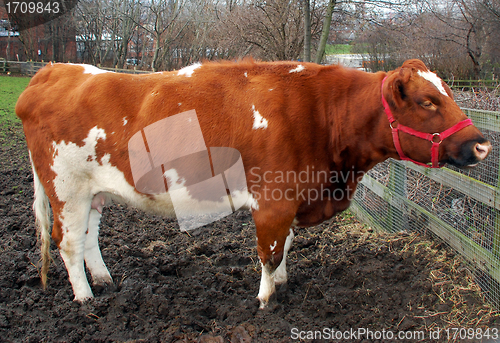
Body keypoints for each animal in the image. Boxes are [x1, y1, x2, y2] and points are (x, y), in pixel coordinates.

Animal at [16, 58, 492, 310]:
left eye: (448, 93)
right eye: (427, 101)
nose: (483, 144)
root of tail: (53, 70)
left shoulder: (292, 201)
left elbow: (287, 246)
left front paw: (280, 283)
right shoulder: (273, 201)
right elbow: (270, 250)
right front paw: (265, 300)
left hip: (94, 191)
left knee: (89, 235)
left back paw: (104, 280)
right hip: (66, 188)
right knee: (67, 241)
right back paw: (85, 299)